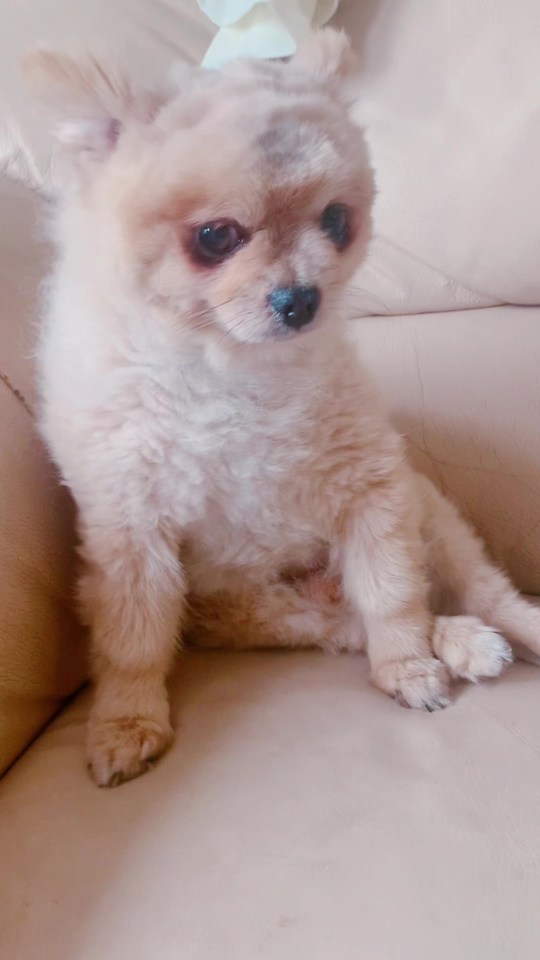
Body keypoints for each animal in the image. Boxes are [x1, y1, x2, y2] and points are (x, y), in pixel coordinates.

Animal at [27, 30, 540, 788]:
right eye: (215, 237)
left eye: (336, 221)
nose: (301, 299)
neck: (227, 370)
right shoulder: (132, 532)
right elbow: (134, 642)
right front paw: (126, 723)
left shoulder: (373, 488)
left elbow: (393, 594)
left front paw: (410, 668)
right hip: (266, 611)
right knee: (352, 624)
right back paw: (463, 642)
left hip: (433, 520)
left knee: (475, 593)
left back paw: (484, 633)